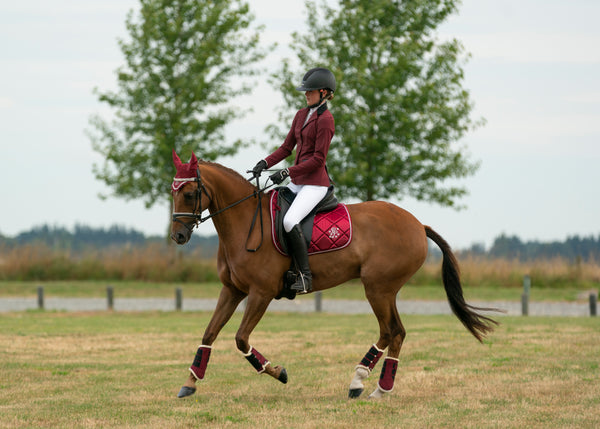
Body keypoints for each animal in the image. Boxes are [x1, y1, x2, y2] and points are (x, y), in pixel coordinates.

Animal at [169, 150, 496, 398]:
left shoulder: (261, 293)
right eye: (172, 193)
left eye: (190, 193)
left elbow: (240, 338)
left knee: (389, 331)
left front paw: (278, 372)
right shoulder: (232, 290)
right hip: (386, 290)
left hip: (377, 288)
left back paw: (358, 380)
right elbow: (210, 333)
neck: (244, 222)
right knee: (398, 332)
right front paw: (190, 383)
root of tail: (418, 224)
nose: (178, 237)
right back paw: (381, 388)